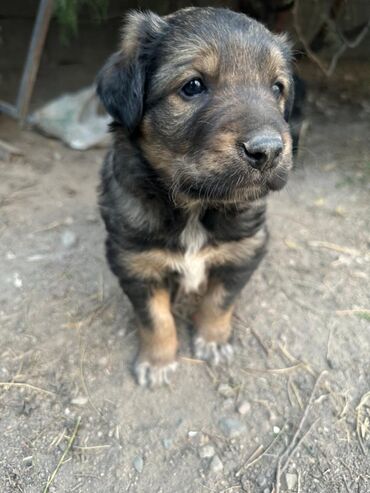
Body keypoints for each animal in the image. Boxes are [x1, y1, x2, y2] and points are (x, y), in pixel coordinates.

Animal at [97, 5, 294, 386]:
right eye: (193, 86)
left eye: (277, 87)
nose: (268, 151)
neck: (195, 207)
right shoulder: (135, 263)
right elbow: (155, 318)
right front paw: (158, 361)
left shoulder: (244, 249)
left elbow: (219, 301)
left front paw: (212, 340)